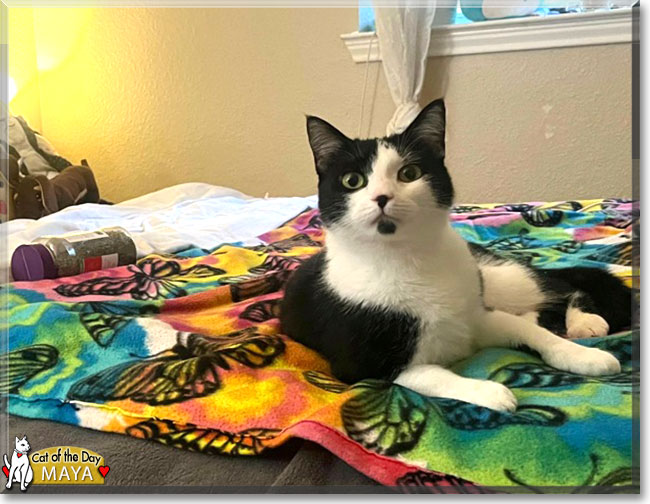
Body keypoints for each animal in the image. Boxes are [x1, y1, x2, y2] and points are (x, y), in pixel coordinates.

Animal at [280, 99, 632, 414]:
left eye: (409, 173)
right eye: (352, 180)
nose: (382, 197)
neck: (408, 258)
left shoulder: (476, 314)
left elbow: (530, 332)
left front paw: (583, 356)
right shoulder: (362, 365)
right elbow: (433, 375)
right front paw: (490, 392)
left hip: (497, 277)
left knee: (558, 285)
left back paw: (582, 320)